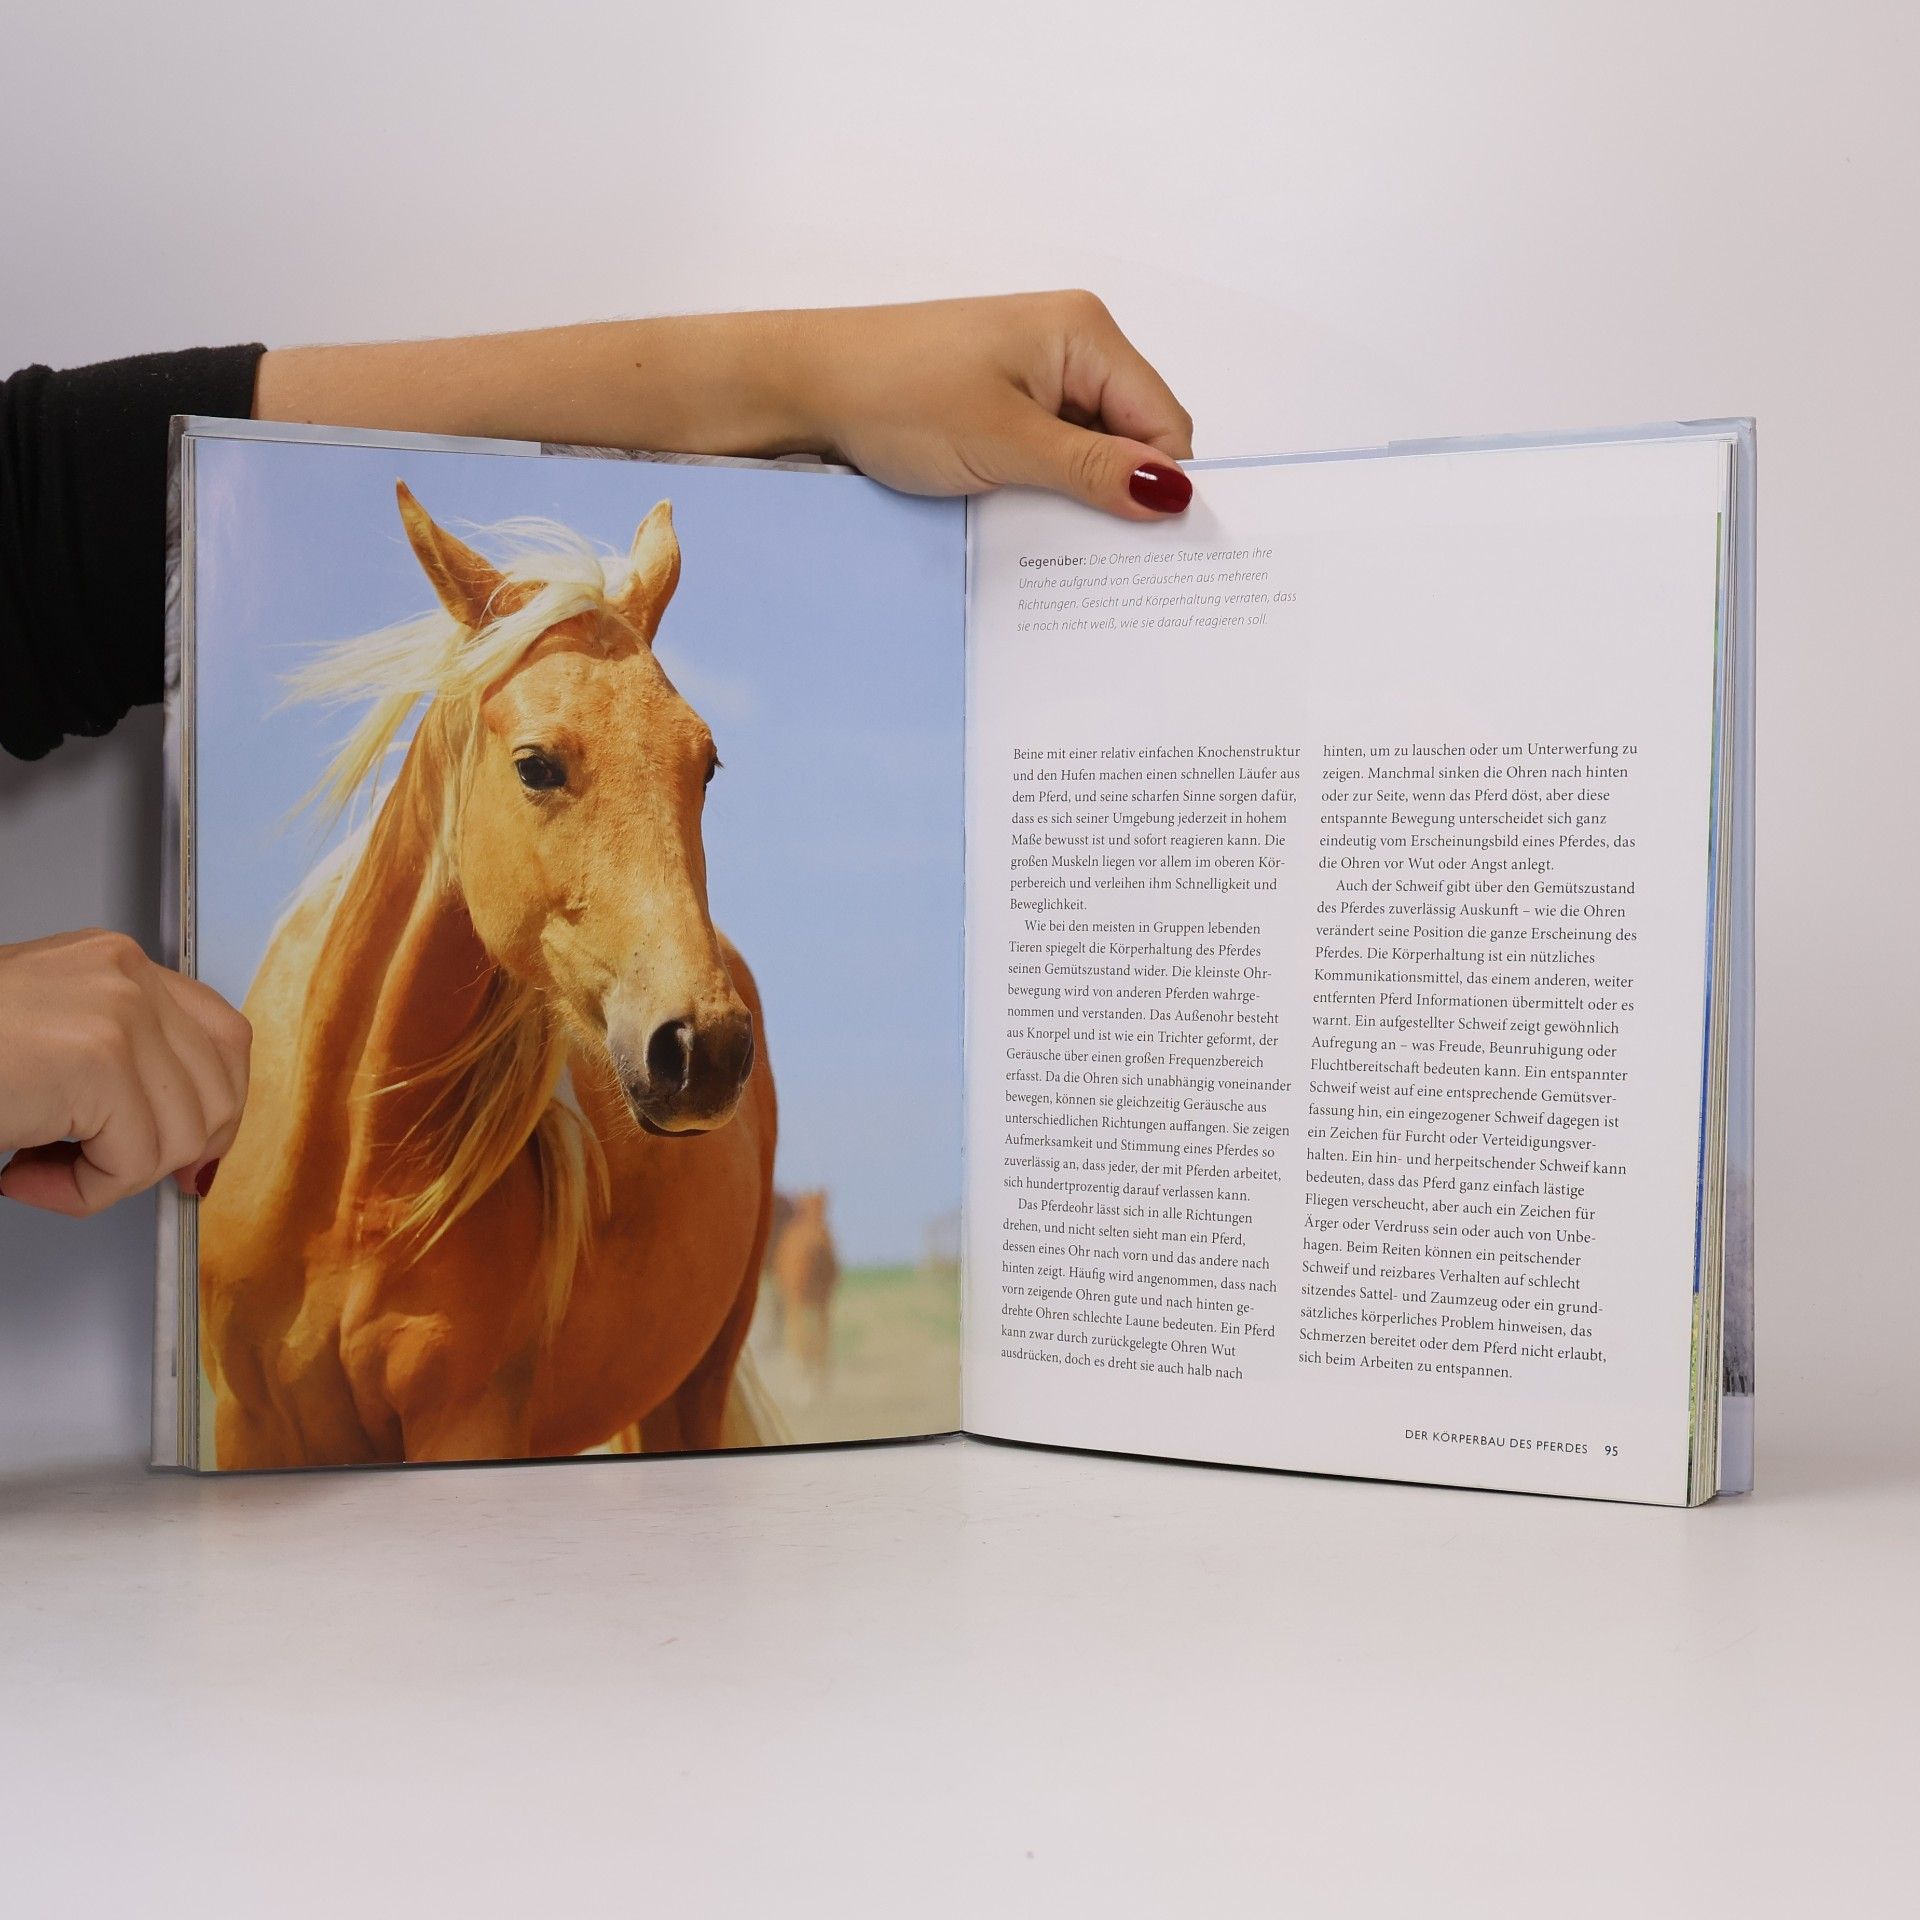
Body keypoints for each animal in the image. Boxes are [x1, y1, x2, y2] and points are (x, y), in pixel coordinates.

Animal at [198, 482, 779, 1467]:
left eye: (705, 763)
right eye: (535, 766)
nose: (703, 1049)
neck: (348, 1183)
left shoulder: (468, 1421)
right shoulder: (247, 1424)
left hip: (690, 1391)